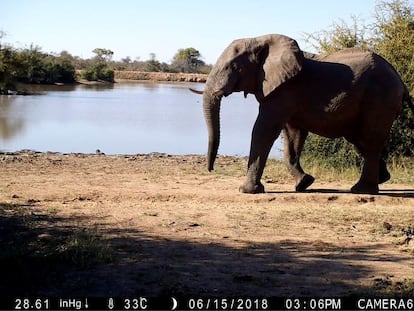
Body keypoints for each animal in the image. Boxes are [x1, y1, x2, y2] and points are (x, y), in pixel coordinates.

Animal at [192, 34, 414, 195]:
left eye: (232, 67)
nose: (211, 169)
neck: (259, 39)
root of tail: (401, 82)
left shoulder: (283, 91)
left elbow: (264, 130)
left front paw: (247, 191)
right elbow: (293, 135)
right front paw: (304, 184)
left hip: (380, 99)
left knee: (369, 140)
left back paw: (362, 190)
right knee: (361, 140)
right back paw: (382, 179)